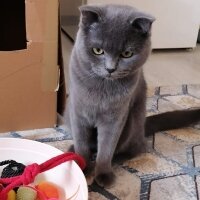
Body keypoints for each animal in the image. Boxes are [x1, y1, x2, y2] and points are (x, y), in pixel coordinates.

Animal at [65, 3, 155, 187]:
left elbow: (107, 148)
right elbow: (81, 142)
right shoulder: (77, 112)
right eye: (98, 50)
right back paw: (72, 150)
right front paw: (81, 166)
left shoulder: (114, 118)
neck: (102, 87)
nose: (110, 69)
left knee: (134, 149)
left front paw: (104, 174)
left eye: (127, 54)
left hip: (133, 121)